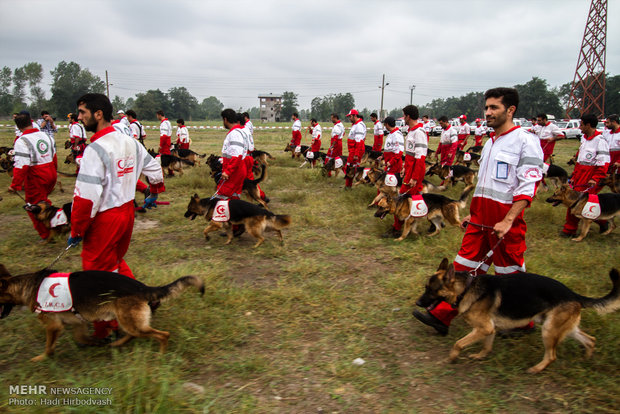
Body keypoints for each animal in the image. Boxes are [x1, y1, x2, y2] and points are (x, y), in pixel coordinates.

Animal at [0, 266, 205, 362]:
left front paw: (42, 358)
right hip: (128, 321)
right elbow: (82, 337)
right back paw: (117, 343)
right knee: (133, 334)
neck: (27, 285)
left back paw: (161, 354)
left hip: (131, 322)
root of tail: (142, 287)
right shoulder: (78, 323)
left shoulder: (53, 326)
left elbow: (49, 345)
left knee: (163, 335)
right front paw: (95, 342)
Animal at [416, 258, 620, 372]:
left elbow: (458, 344)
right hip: (563, 328)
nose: (417, 303)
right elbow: (487, 346)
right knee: (590, 340)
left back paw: (536, 369)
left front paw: (451, 358)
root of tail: (573, 294)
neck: (466, 289)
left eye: (431, 290)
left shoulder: (483, 328)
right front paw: (481, 356)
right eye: (425, 287)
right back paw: (586, 359)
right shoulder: (489, 329)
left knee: (551, 356)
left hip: (549, 330)